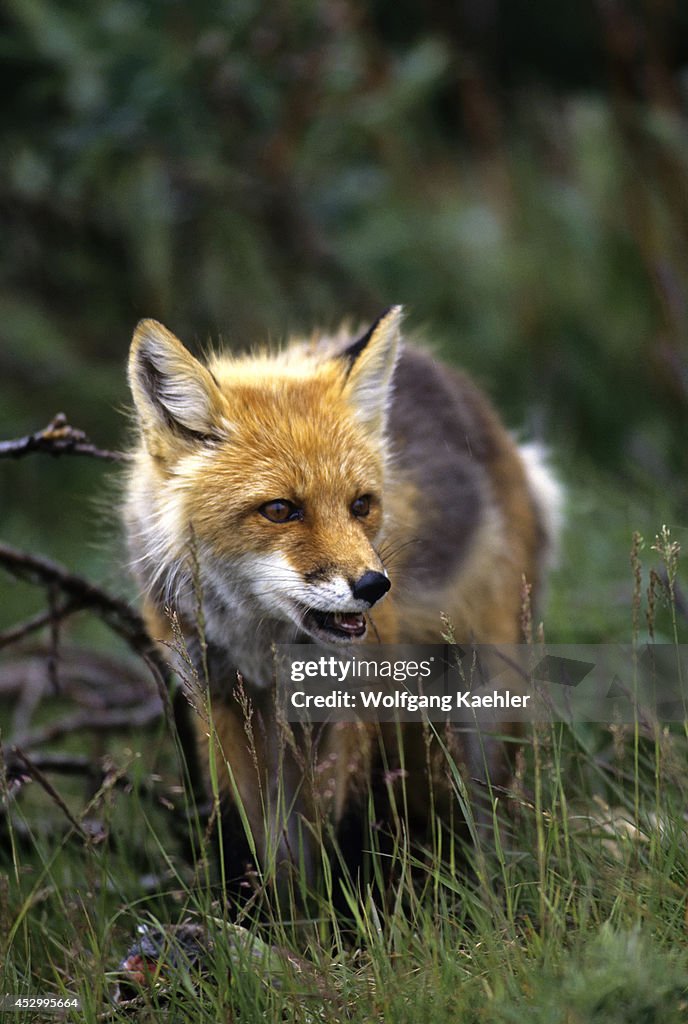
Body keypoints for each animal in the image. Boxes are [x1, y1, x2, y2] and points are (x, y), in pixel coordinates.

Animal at [123, 305, 561, 905]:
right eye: (279, 509)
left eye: (361, 505)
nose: (374, 586)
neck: (263, 647)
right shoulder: (218, 697)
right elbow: (250, 837)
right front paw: (267, 921)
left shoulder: (356, 696)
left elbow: (349, 819)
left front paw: (352, 913)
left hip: (484, 689)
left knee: (480, 799)